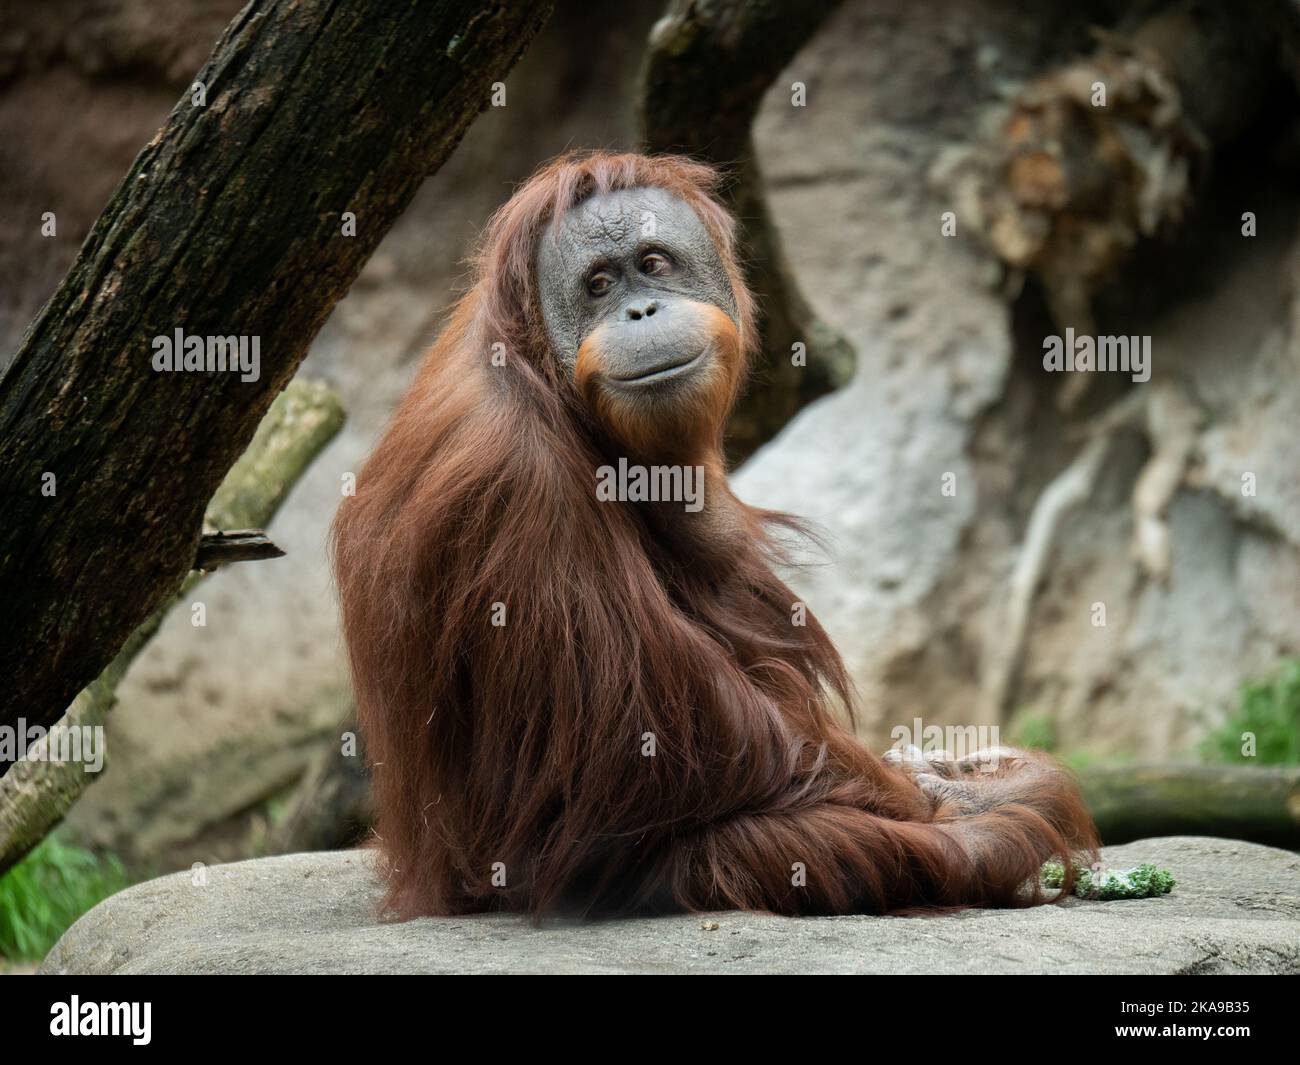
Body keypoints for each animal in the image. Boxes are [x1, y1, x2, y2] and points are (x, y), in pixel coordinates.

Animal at [332, 151, 1098, 919]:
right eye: (599, 285)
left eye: (653, 263)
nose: (641, 310)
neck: (543, 376)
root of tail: (429, 880)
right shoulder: (519, 479)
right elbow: (641, 745)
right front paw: (961, 792)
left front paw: (955, 769)